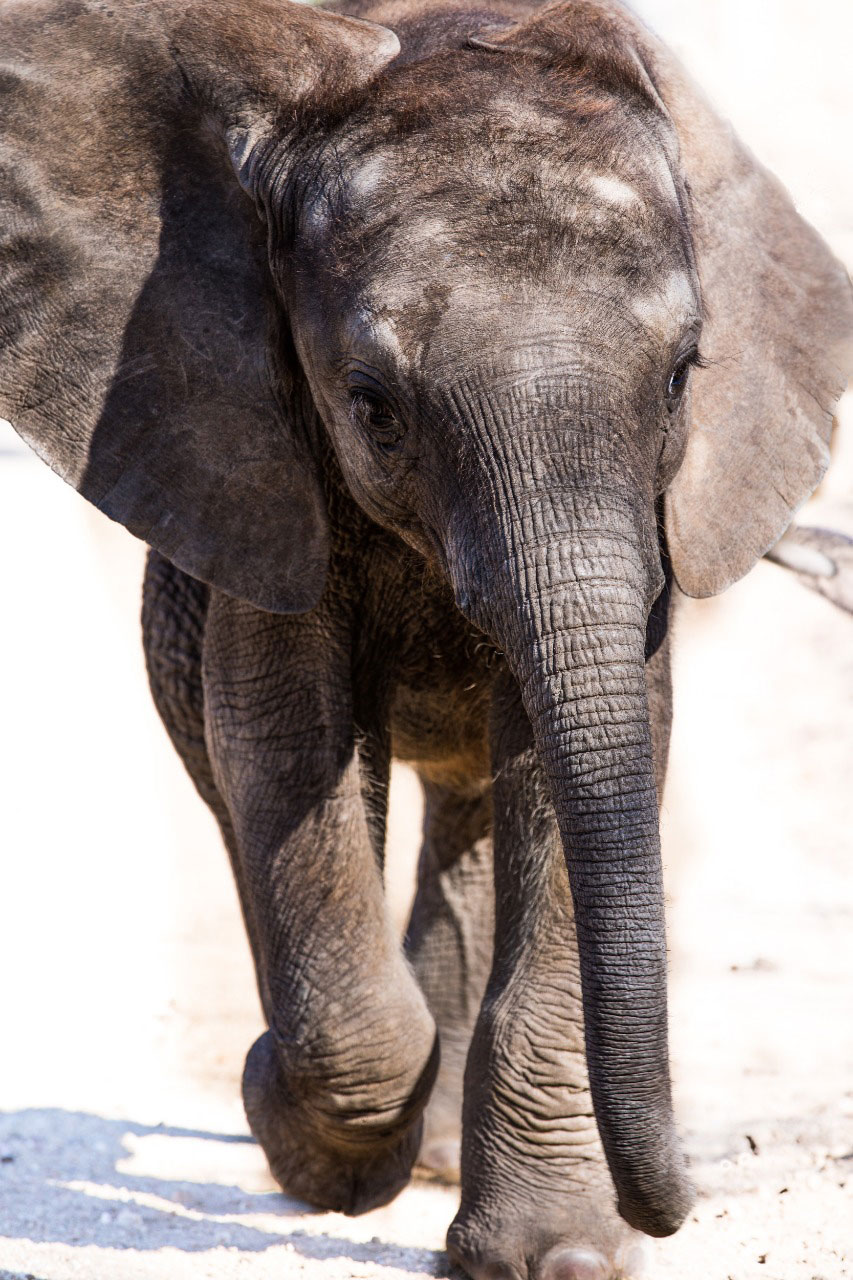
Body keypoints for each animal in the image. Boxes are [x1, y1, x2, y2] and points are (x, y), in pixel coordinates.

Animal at [0, 0, 845, 1274]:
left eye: (679, 379)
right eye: (371, 404)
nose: (678, 1201)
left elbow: (599, 753)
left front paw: (554, 1257)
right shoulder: (261, 463)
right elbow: (282, 732)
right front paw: (314, 1145)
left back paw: (442, 1151)